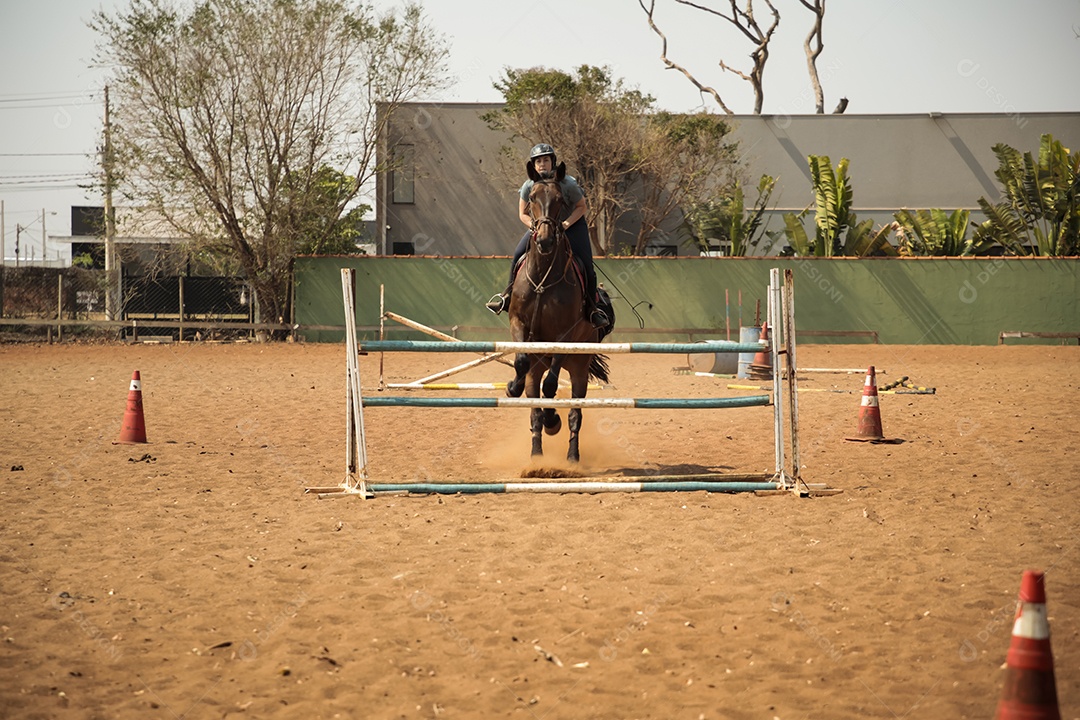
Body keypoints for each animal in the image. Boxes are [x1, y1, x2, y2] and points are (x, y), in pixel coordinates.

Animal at [503, 158, 609, 462]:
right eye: (532, 199)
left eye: (561, 200)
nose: (545, 240)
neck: (543, 278)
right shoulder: (518, 323)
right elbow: (521, 364)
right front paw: (512, 388)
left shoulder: (564, 334)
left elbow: (551, 387)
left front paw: (553, 421)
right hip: (542, 359)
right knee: (535, 399)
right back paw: (537, 454)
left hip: (579, 366)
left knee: (573, 410)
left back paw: (571, 454)